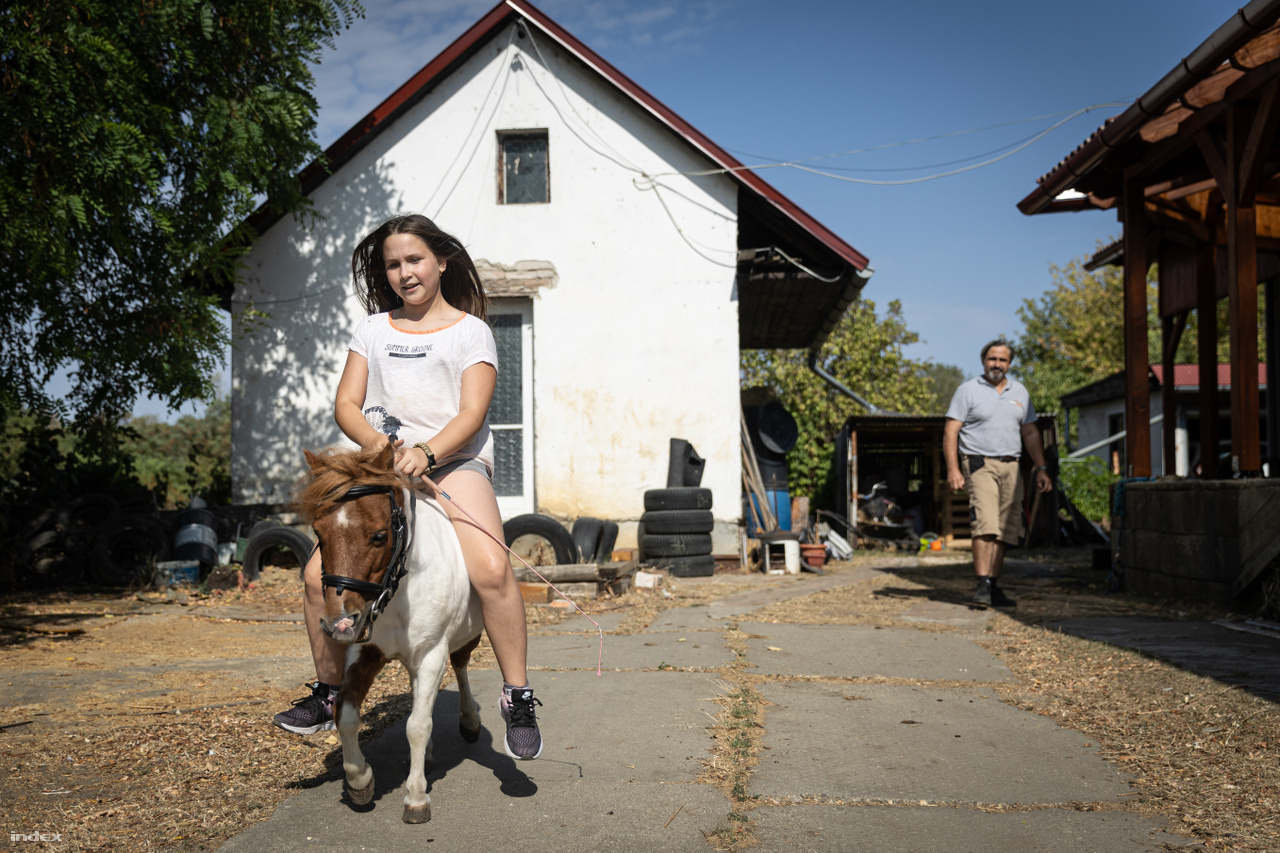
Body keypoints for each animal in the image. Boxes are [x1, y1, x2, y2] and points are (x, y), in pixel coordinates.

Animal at [296, 440, 486, 819]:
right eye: (320, 535)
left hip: (465, 638)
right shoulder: (365, 651)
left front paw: (416, 796)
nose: (340, 624)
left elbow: (417, 725)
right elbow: (346, 715)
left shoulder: (431, 654)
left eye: (379, 535)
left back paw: (470, 720)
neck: (400, 590)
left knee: (460, 667)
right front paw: (360, 781)